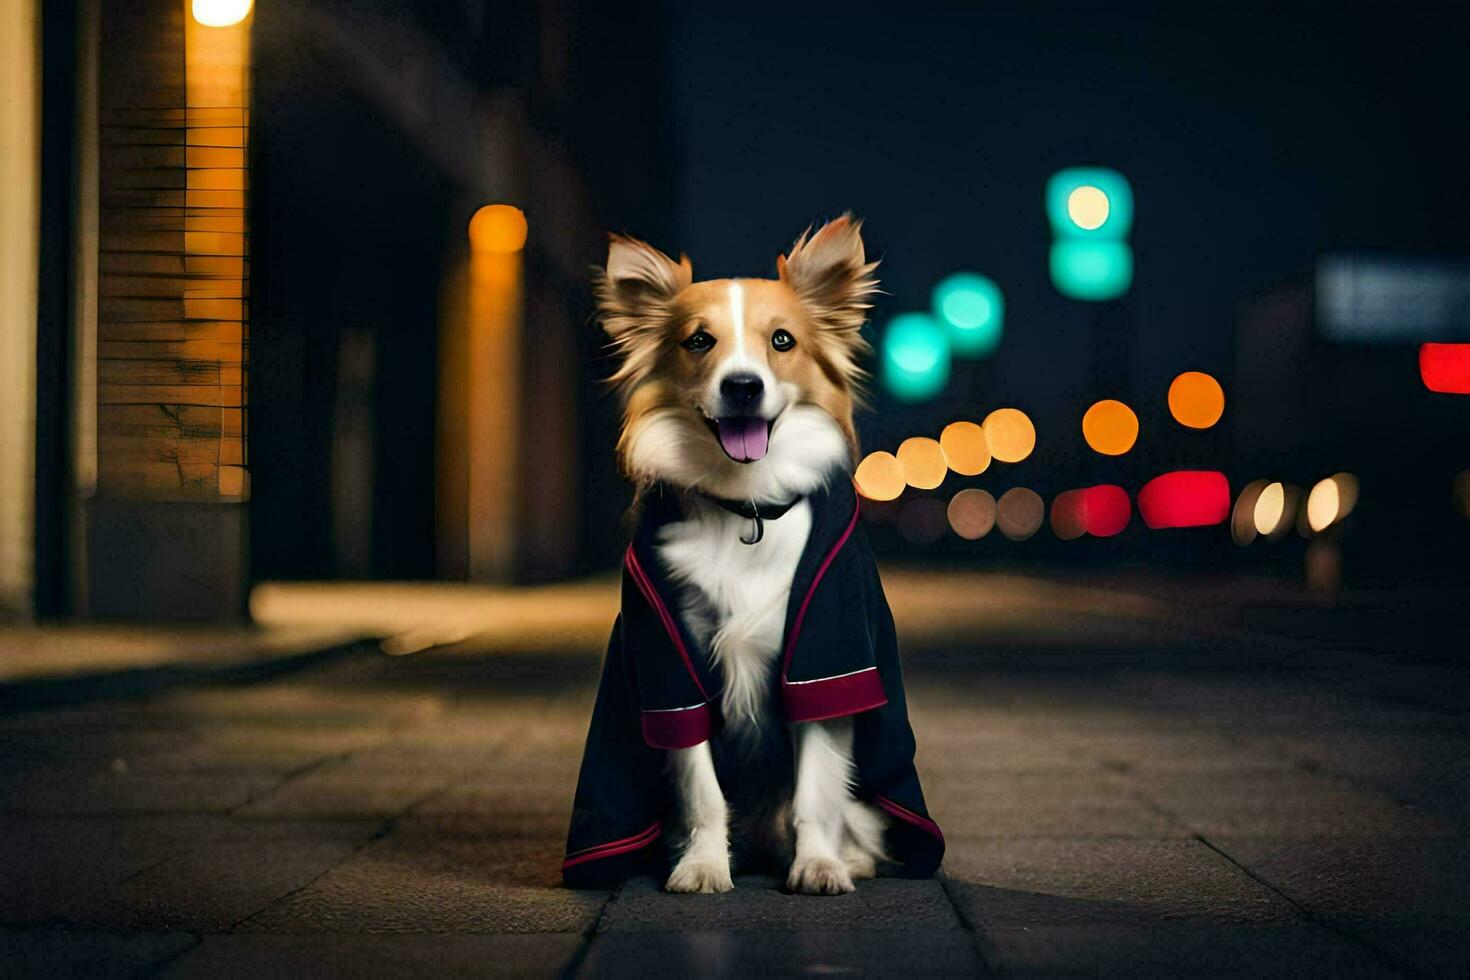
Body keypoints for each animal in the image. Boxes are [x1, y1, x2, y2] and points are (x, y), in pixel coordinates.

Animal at [561, 214, 940, 899]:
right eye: (698, 342)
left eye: (782, 341)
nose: (743, 386)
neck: (748, 509)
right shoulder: (672, 670)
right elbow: (702, 792)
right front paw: (703, 866)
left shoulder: (825, 658)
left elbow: (816, 790)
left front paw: (818, 866)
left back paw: (847, 857)